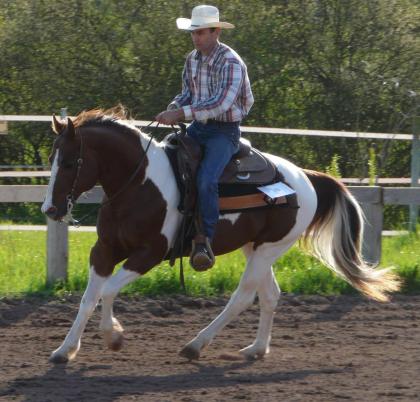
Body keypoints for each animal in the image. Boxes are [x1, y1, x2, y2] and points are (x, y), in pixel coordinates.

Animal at [41, 107, 398, 364]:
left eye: (71, 162)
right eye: (51, 159)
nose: (50, 209)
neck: (139, 183)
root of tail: (305, 176)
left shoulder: (150, 253)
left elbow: (109, 291)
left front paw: (113, 336)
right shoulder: (103, 250)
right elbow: (89, 298)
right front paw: (65, 350)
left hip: (269, 249)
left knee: (243, 296)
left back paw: (196, 345)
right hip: (255, 247)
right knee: (270, 295)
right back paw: (255, 349)